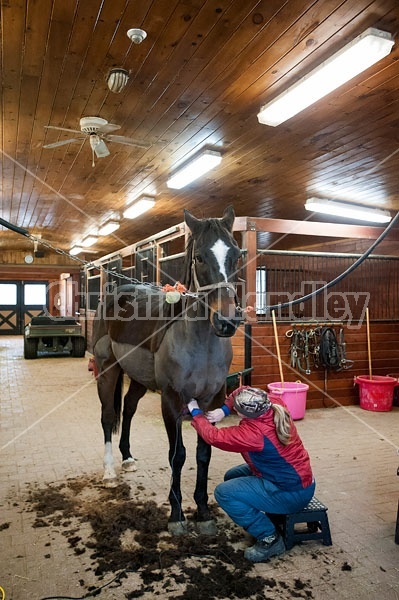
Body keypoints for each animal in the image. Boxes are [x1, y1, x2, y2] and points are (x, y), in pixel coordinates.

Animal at [94, 207, 242, 536]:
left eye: (236, 254)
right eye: (199, 257)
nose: (226, 322)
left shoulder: (212, 400)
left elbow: (203, 453)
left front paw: (203, 512)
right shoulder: (171, 400)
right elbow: (178, 455)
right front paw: (176, 514)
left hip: (138, 379)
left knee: (129, 409)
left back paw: (128, 458)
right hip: (107, 370)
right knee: (108, 416)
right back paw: (109, 472)